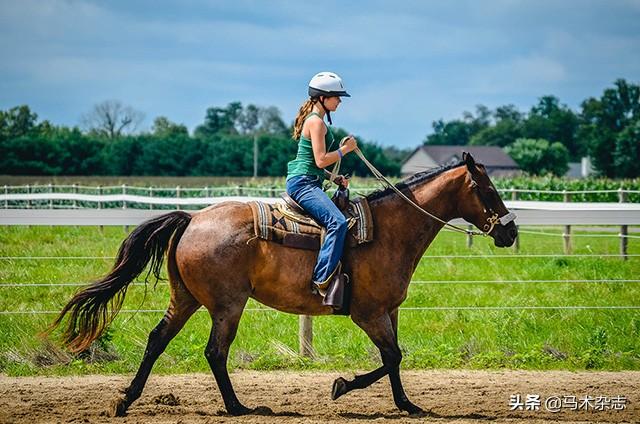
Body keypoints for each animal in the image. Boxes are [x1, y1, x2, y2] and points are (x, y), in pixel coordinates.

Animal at [51, 151, 520, 416]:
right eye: (487, 188)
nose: (510, 231)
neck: (389, 229)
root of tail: (192, 219)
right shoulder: (368, 313)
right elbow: (391, 357)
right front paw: (343, 387)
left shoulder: (390, 310)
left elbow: (395, 359)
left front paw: (405, 404)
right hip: (227, 305)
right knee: (215, 351)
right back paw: (237, 407)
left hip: (184, 299)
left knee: (157, 340)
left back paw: (126, 400)